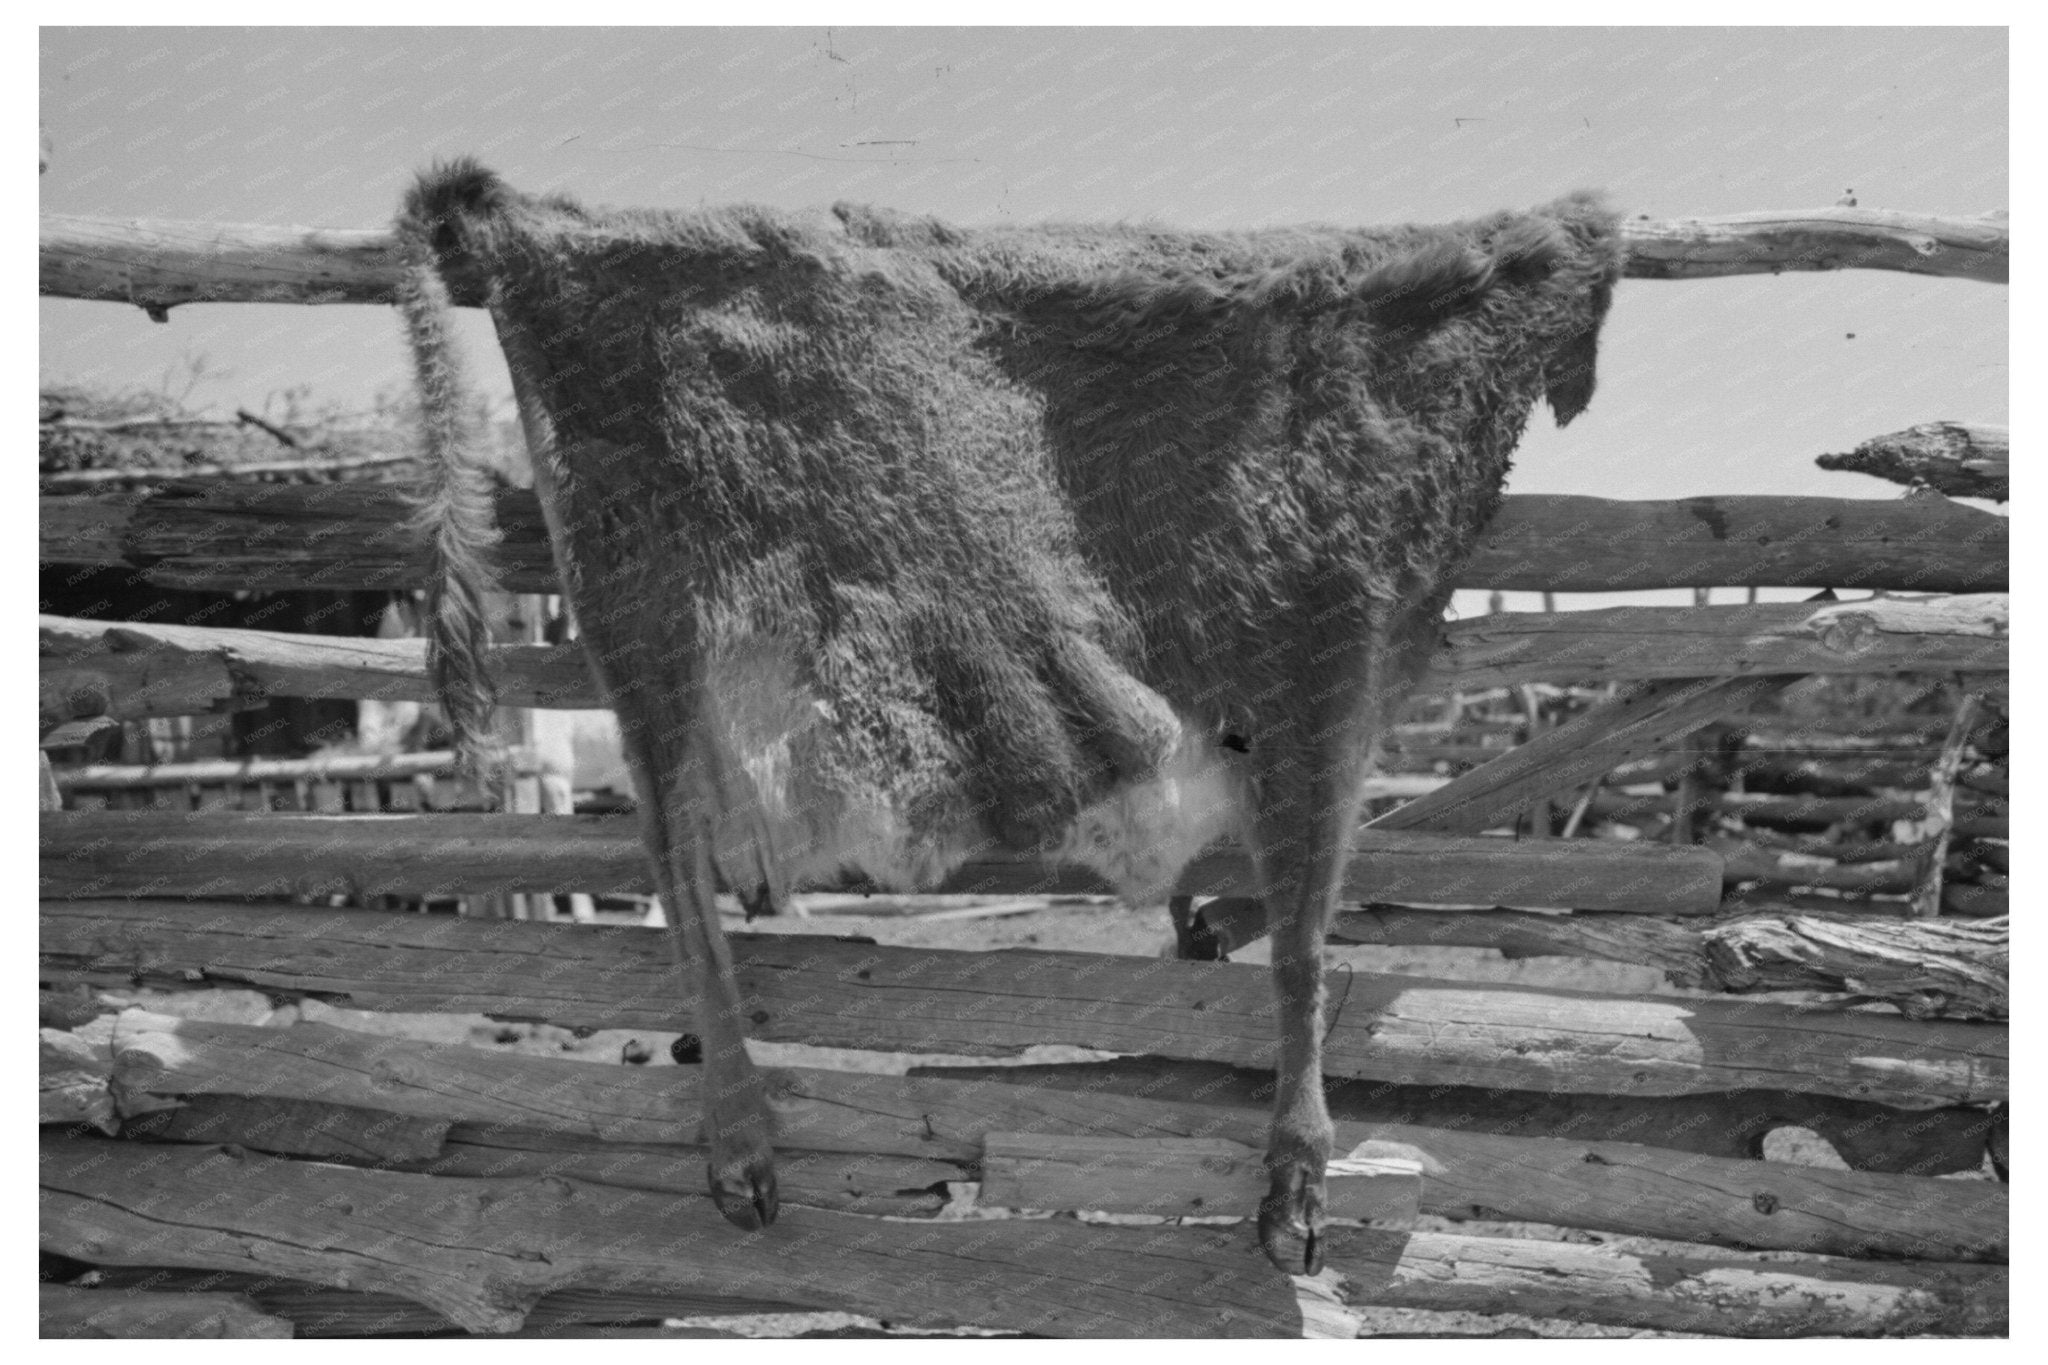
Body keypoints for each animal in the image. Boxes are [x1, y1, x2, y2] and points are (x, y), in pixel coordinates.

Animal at [395, 159, 1624, 1274]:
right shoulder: (1326, 662)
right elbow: (1304, 942)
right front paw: (1294, 1194)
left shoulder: (1326, 669)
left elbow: (1301, 936)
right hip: (637, 615)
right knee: (673, 860)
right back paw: (740, 1147)